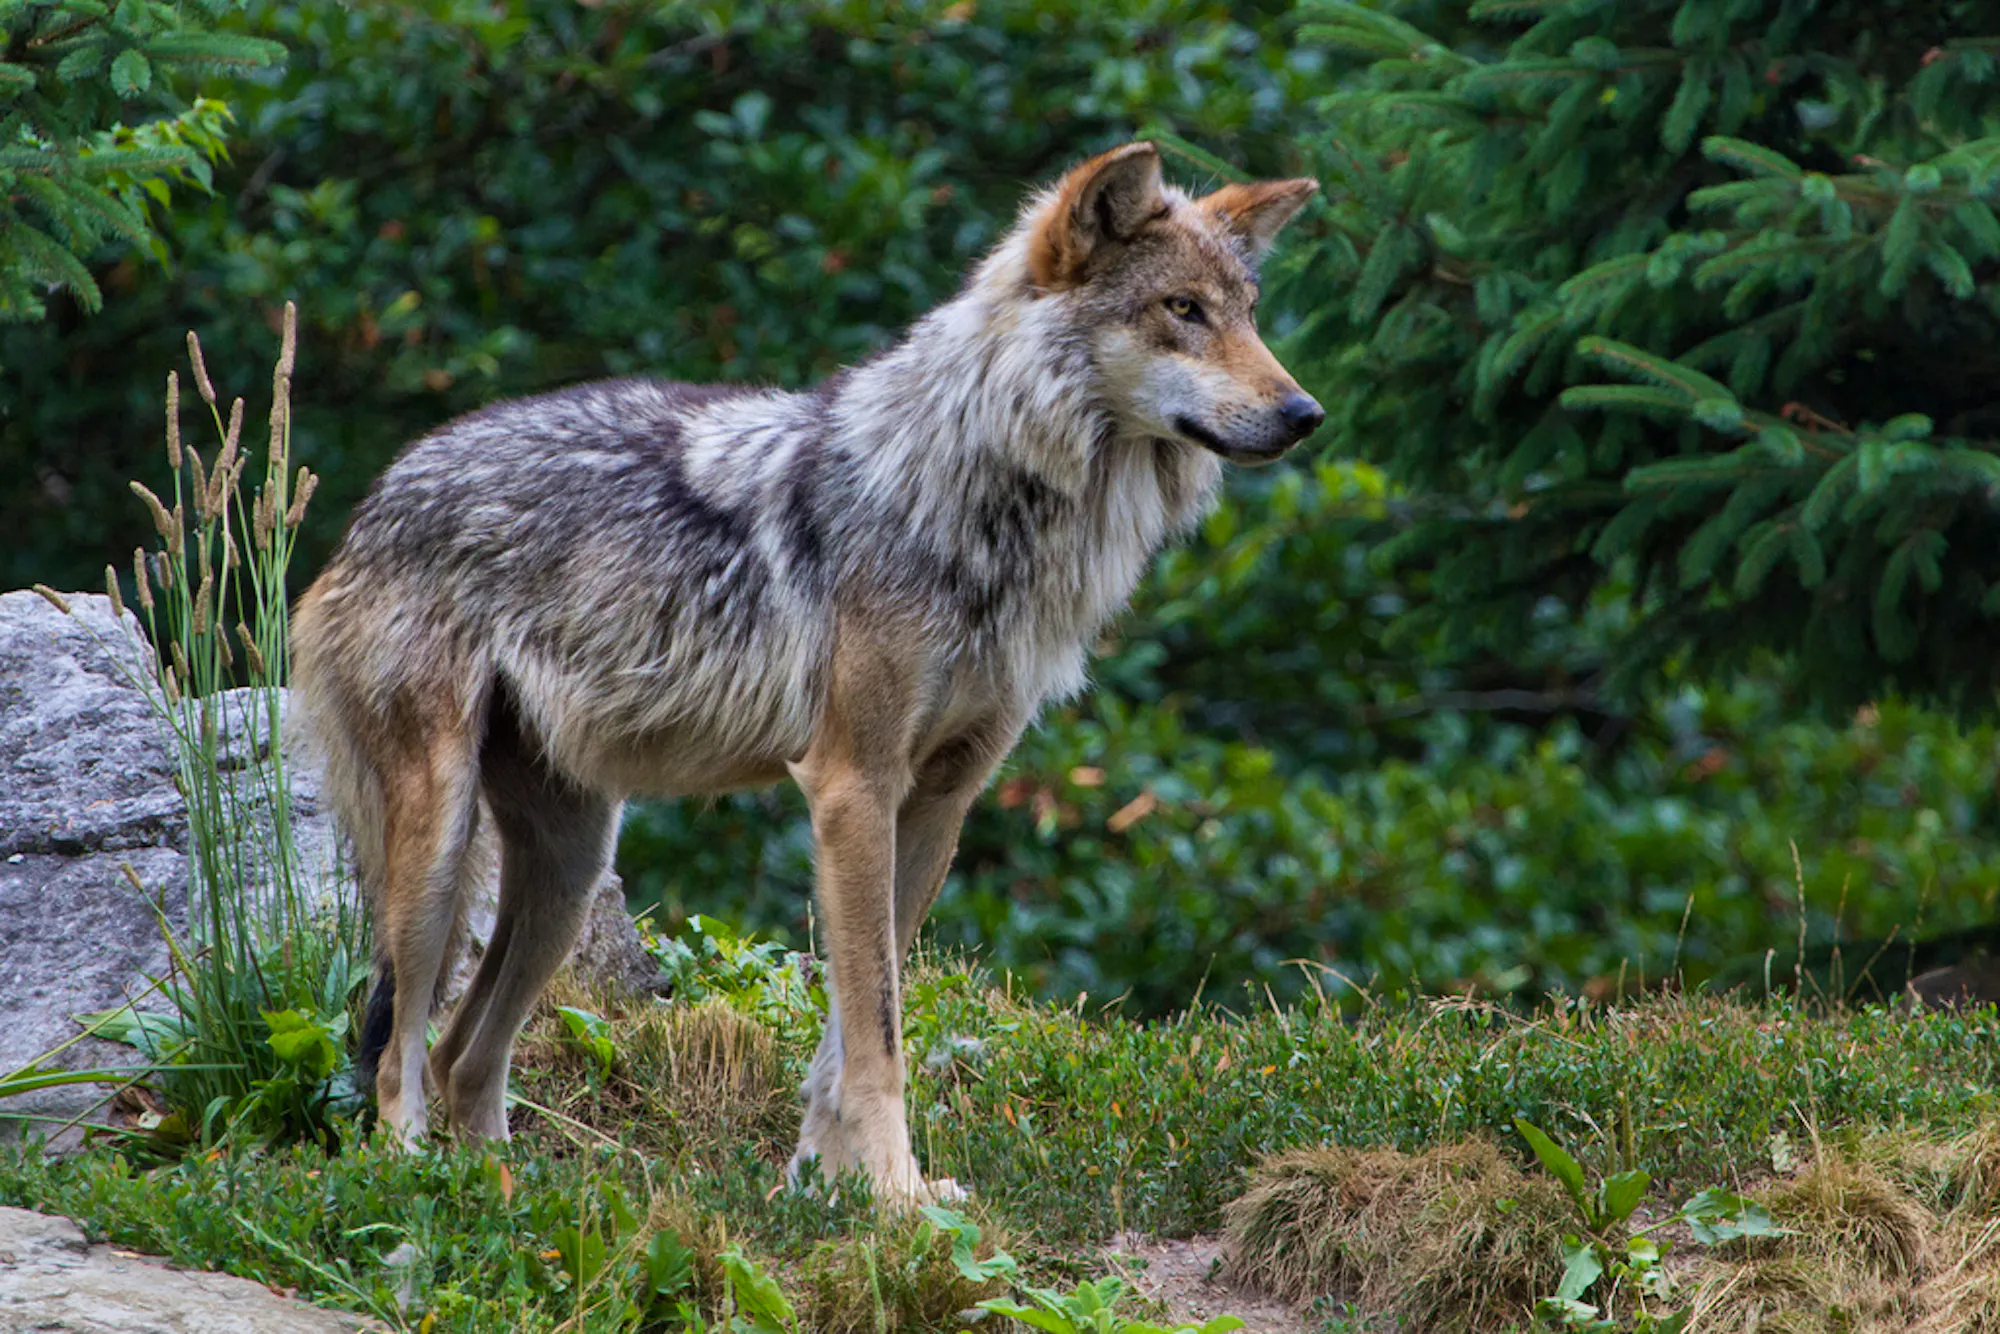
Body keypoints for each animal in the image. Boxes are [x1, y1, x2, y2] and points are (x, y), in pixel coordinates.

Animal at [291, 141, 1322, 1202]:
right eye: (1182, 309)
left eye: (1247, 311)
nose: (1305, 413)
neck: (980, 508)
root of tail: (378, 496)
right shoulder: (850, 785)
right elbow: (877, 1029)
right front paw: (895, 1197)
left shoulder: (939, 800)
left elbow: (855, 1023)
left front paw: (834, 1184)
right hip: (442, 845)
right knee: (398, 1049)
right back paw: (417, 1183)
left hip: (571, 873)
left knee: (462, 1050)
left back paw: (505, 1191)